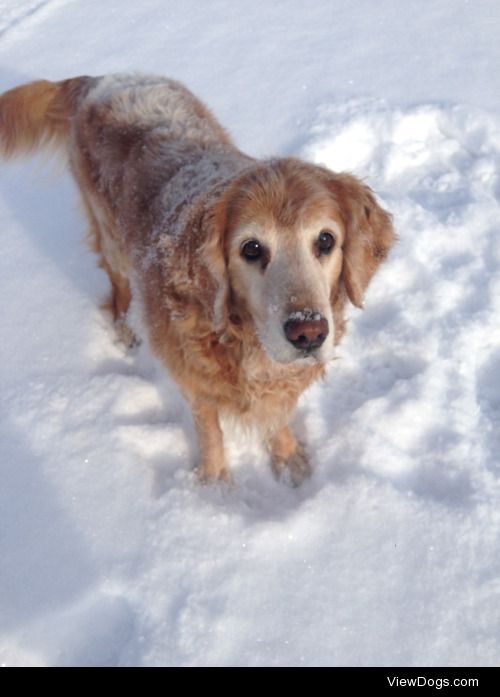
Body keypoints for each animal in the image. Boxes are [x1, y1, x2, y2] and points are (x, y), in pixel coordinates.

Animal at [0, 72, 394, 484]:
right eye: (251, 249)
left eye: (325, 240)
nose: (309, 332)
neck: (240, 337)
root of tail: (98, 78)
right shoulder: (192, 378)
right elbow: (209, 429)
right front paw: (215, 482)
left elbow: (276, 415)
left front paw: (288, 460)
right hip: (112, 237)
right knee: (118, 286)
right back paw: (125, 329)